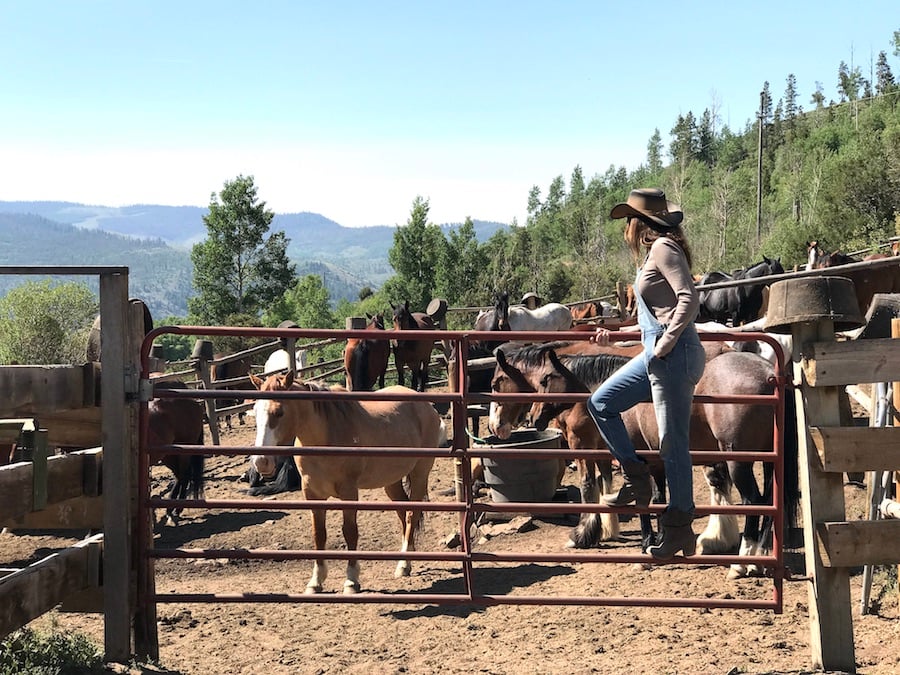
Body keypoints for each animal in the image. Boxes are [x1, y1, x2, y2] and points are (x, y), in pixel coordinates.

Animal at [248, 372, 444, 596]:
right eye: (255, 412)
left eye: (279, 412)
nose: (261, 462)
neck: (323, 440)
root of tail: (427, 406)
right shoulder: (312, 494)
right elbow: (319, 534)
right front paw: (316, 581)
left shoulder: (349, 492)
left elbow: (350, 532)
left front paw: (351, 580)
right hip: (392, 482)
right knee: (403, 514)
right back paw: (406, 556)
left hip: (420, 474)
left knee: (412, 514)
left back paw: (404, 564)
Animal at [528, 346, 800, 580]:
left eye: (544, 380)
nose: (532, 417)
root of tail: (768, 374)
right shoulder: (657, 463)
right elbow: (660, 499)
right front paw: (660, 544)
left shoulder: (640, 460)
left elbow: (643, 501)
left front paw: (645, 549)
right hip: (768, 460)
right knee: (770, 501)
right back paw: (759, 558)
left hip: (739, 462)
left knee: (753, 501)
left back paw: (742, 563)